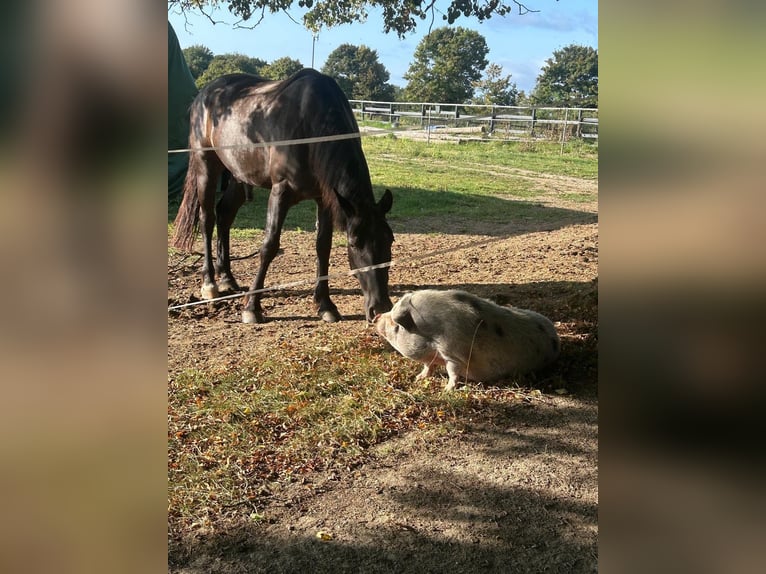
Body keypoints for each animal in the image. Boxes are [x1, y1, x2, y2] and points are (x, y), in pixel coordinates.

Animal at [172, 69, 394, 324]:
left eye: (390, 240)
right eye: (354, 243)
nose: (380, 307)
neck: (311, 125)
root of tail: (204, 94)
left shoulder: (325, 198)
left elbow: (323, 247)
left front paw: (325, 304)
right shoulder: (281, 192)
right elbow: (269, 245)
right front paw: (252, 308)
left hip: (239, 176)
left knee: (224, 214)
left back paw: (227, 278)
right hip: (206, 166)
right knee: (207, 219)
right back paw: (210, 284)